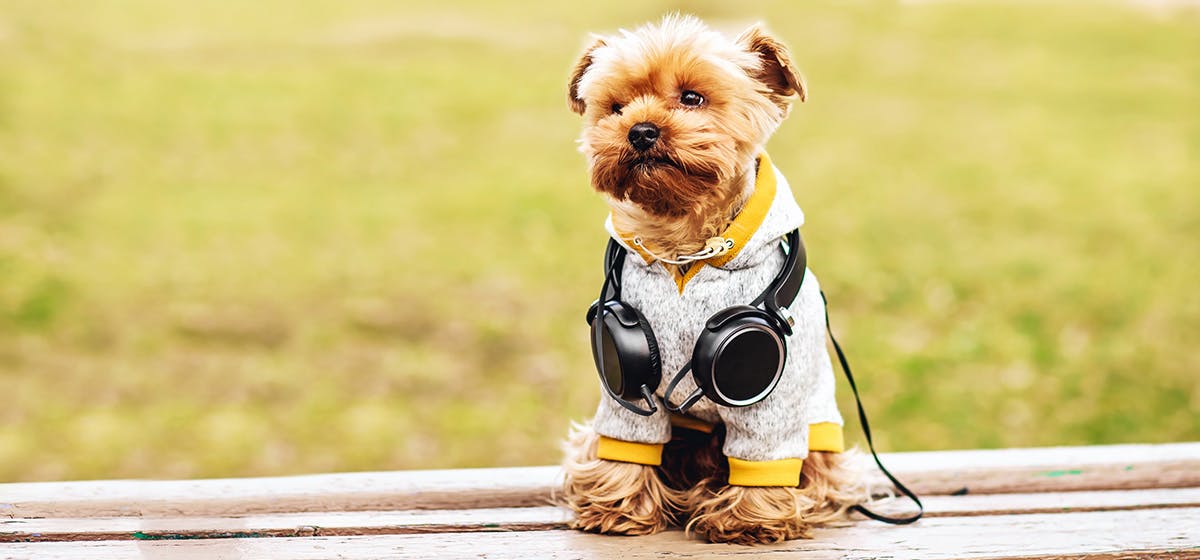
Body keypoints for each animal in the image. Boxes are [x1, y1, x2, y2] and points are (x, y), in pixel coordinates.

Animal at [561, 15, 873, 546]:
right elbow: (626, 436)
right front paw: (618, 505)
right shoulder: (625, 383)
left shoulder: (773, 399)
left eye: (692, 97)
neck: (684, 247)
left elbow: (765, 451)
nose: (639, 130)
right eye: (616, 107)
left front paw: (749, 519)